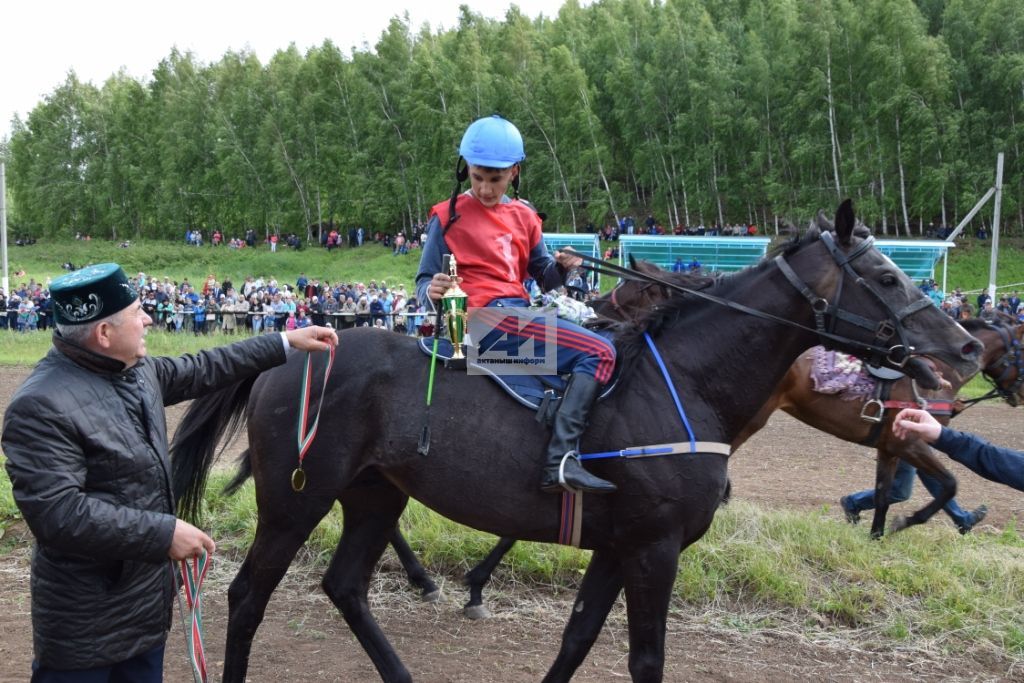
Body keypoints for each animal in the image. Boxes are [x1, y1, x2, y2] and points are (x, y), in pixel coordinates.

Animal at [172, 201, 978, 683]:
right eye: (884, 276)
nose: (966, 346)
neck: (682, 384)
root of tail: (297, 341)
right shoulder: (653, 548)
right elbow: (645, 657)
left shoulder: (620, 545)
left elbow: (579, 637)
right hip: (295, 500)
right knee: (247, 594)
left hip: (375, 496)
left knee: (344, 586)